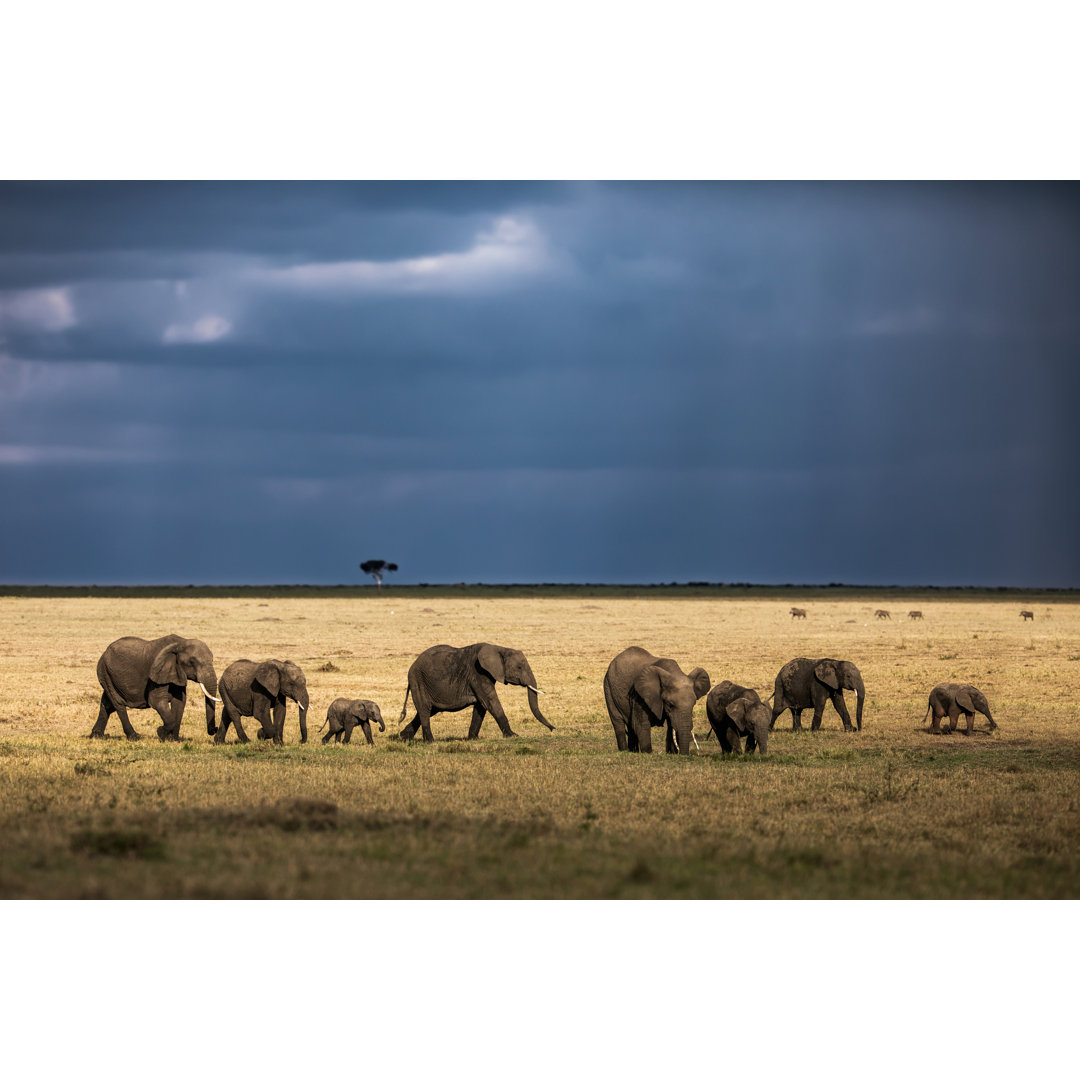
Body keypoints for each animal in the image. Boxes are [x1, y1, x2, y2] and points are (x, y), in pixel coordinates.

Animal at [90, 630, 221, 743]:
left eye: (212, 659)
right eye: (192, 661)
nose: (215, 729)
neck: (180, 643)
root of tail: (104, 652)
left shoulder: (176, 672)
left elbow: (179, 702)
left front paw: (174, 740)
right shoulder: (156, 673)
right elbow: (157, 701)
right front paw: (161, 733)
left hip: (108, 675)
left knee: (107, 704)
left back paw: (97, 736)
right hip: (105, 672)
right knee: (118, 703)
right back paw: (134, 737)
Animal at [397, 639, 552, 743]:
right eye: (519, 667)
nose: (552, 729)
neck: (499, 648)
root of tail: (412, 665)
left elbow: (481, 706)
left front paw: (472, 739)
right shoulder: (478, 673)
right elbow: (490, 702)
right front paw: (513, 736)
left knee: (428, 710)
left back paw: (404, 738)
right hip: (418, 681)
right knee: (424, 710)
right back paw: (430, 741)